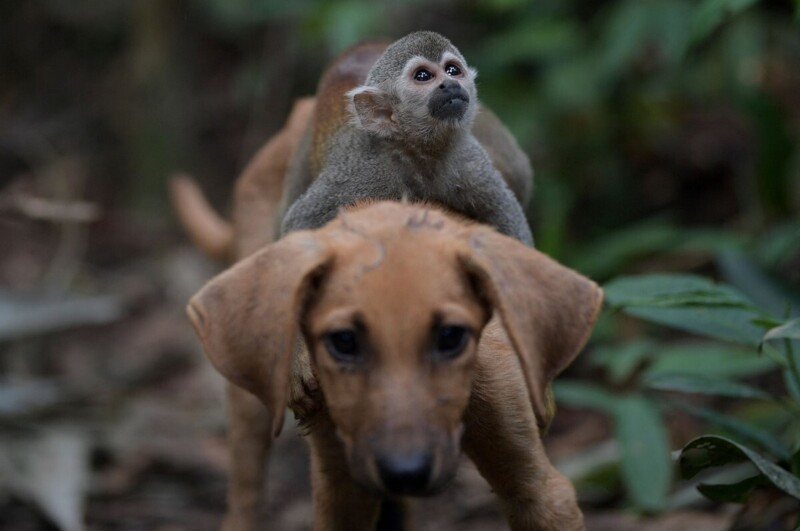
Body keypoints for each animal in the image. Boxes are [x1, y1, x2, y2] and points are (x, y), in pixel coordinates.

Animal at [188, 202, 600, 528]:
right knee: (245, 495)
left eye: (451, 336)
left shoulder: (537, 488)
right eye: (343, 341)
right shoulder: (341, 487)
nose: (406, 471)